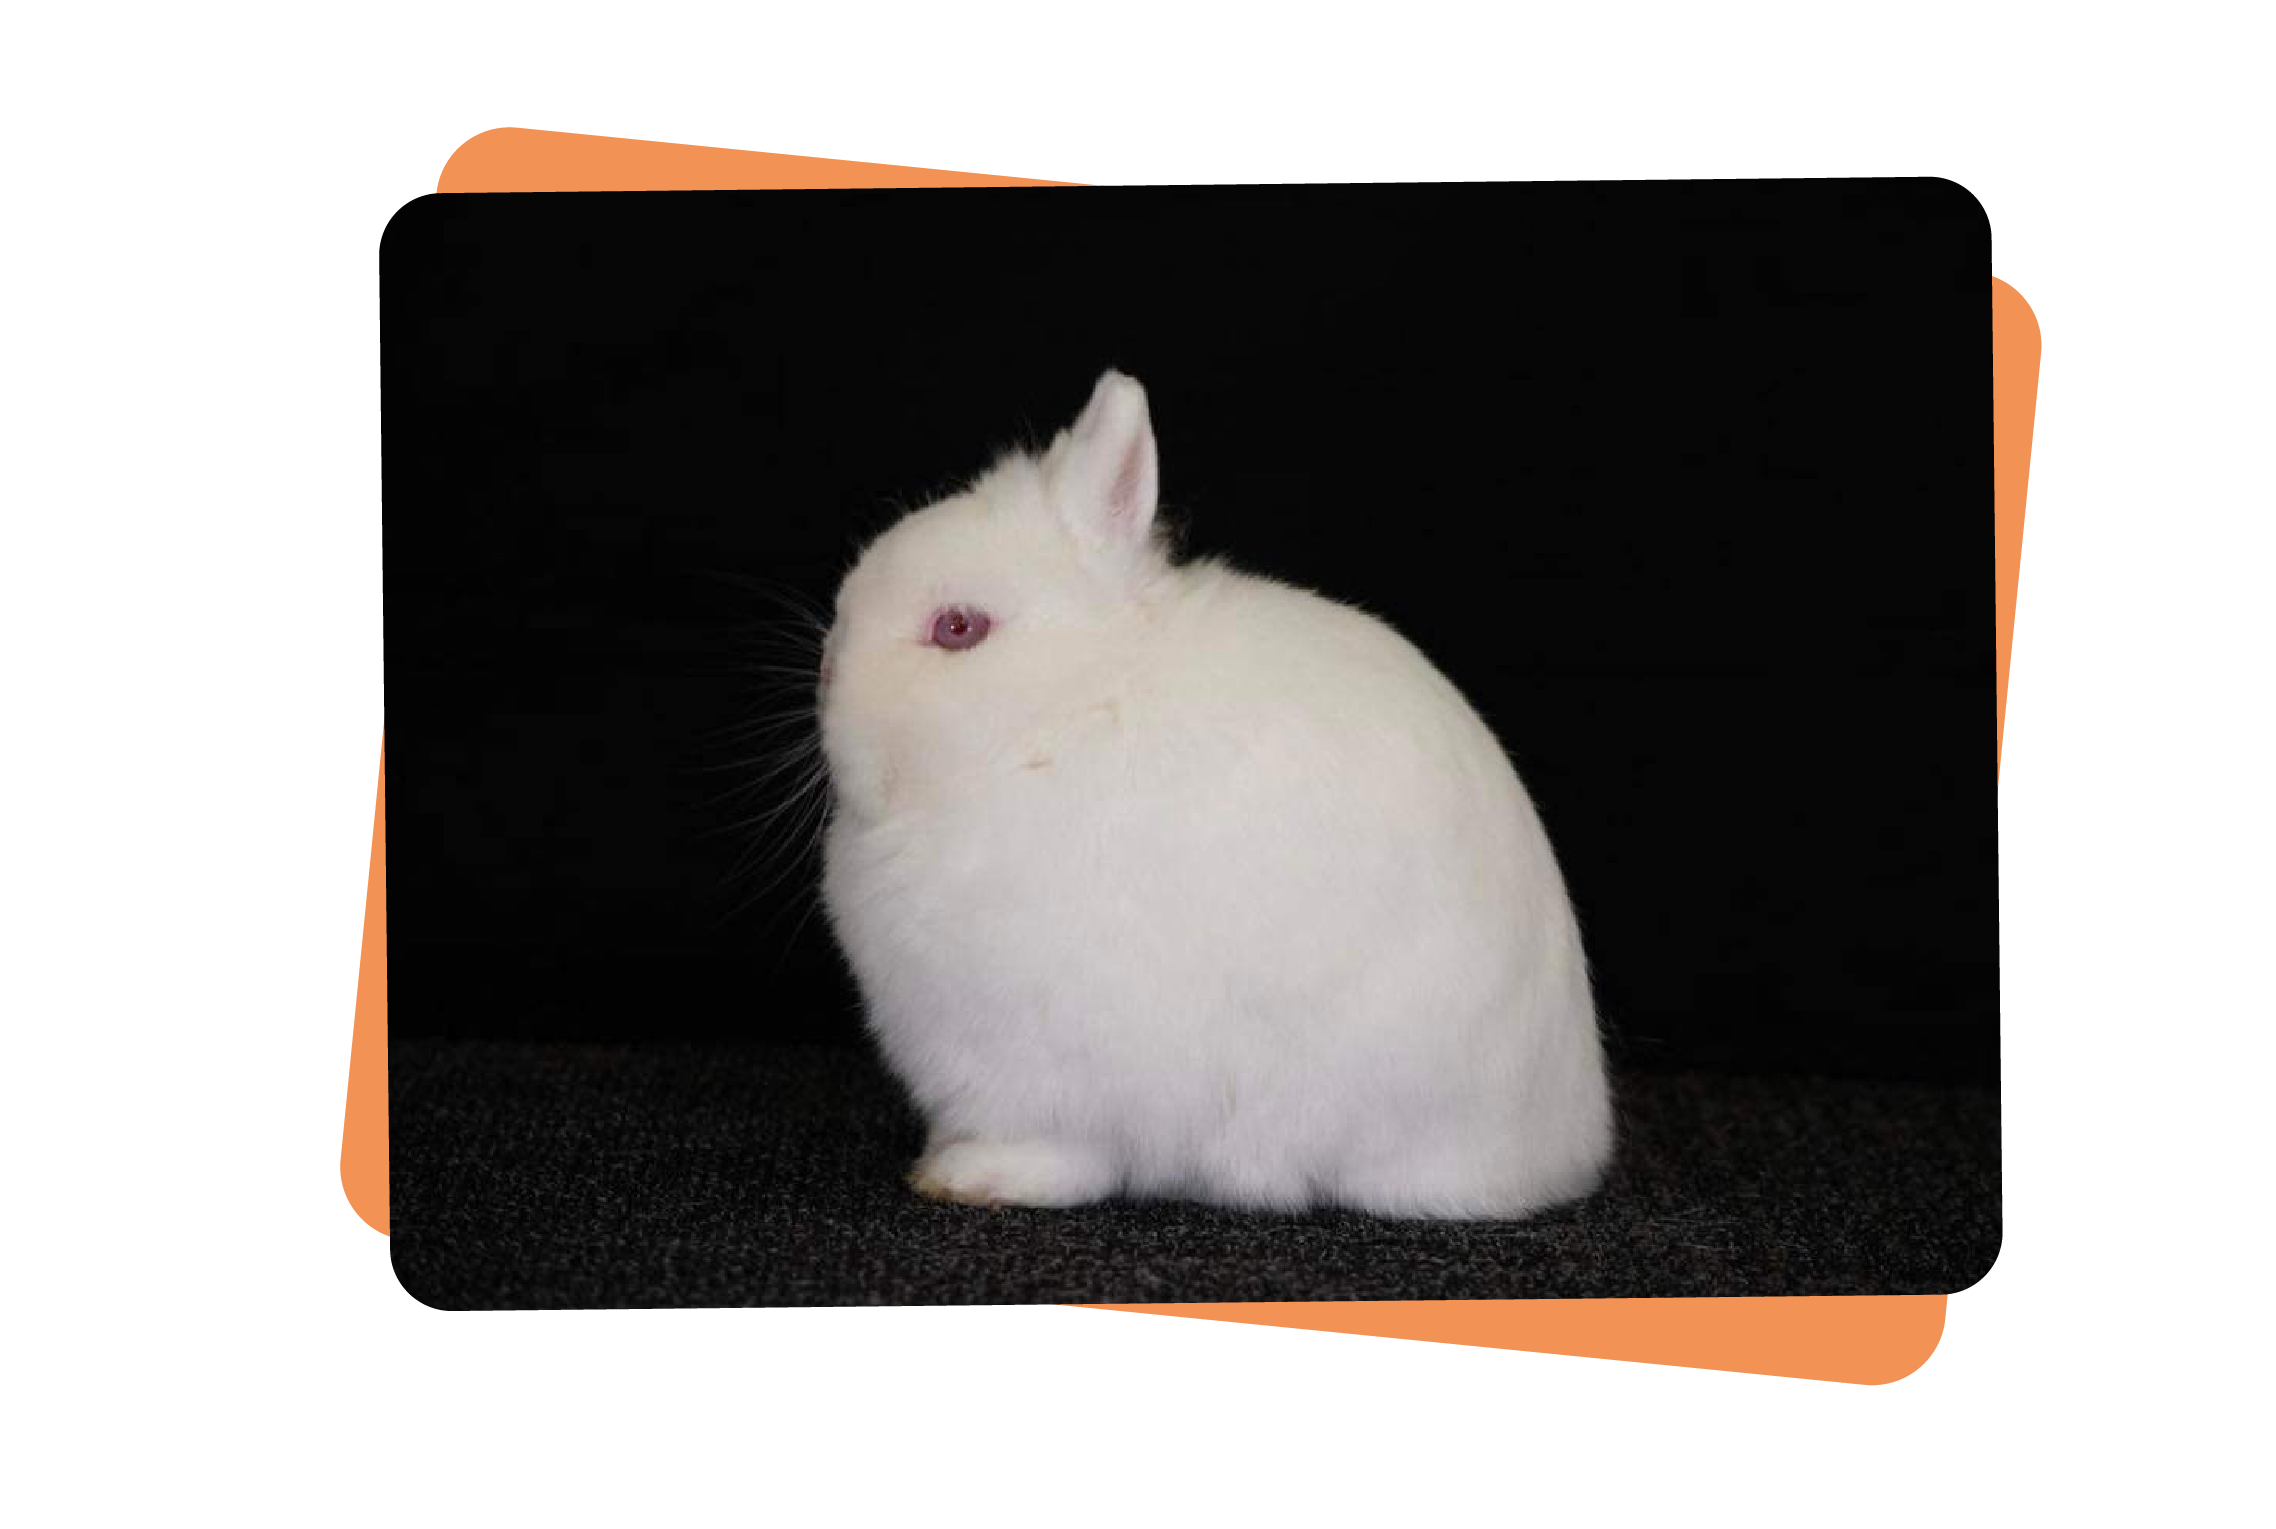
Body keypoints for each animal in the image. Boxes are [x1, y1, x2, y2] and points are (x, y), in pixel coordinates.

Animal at [815, 370, 1613, 1219]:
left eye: (959, 627)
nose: (827, 677)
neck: (1068, 712)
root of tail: (1567, 1145)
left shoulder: (1056, 1070)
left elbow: (1062, 1152)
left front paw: (969, 1176)